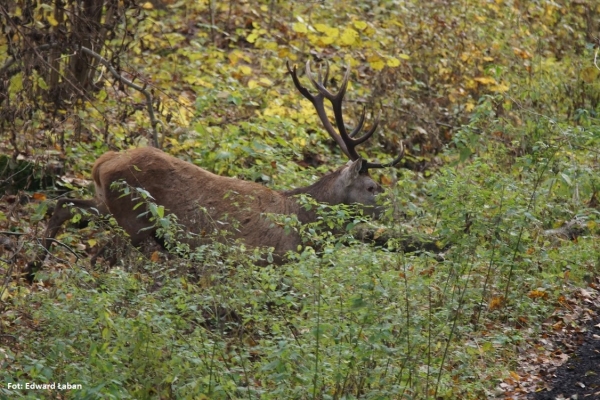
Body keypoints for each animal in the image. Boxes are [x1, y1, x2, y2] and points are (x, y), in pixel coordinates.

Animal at [28, 61, 404, 276]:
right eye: (372, 187)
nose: (393, 210)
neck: (302, 222)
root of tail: (101, 163)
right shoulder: (259, 259)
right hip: (134, 217)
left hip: (107, 203)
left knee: (64, 203)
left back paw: (33, 267)